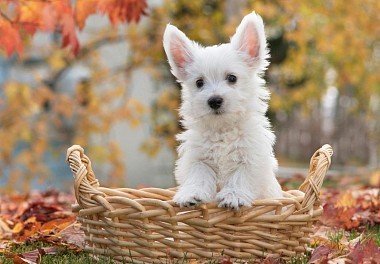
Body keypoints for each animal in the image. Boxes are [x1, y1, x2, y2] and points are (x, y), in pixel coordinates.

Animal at [163, 11, 282, 210]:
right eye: (199, 82)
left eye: (232, 78)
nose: (214, 100)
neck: (223, 129)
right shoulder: (198, 158)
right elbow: (199, 175)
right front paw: (191, 194)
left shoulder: (251, 157)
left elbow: (240, 176)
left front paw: (233, 196)